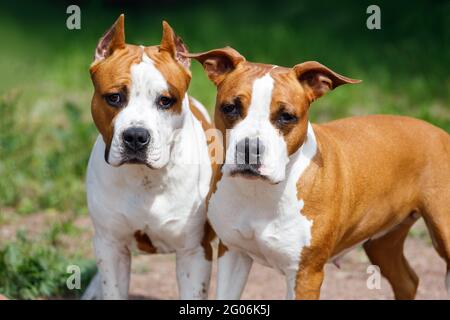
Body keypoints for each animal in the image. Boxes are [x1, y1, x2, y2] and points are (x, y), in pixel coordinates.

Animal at [81, 15, 215, 300]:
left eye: (165, 101)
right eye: (114, 97)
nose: (135, 136)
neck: (144, 178)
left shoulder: (194, 251)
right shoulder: (111, 246)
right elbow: (112, 287)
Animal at [189, 46, 450, 298]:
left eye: (286, 116)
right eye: (230, 108)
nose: (250, 149)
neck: (259, 193)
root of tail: (439, 132)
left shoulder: (305, 274)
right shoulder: (232, 253)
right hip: (382, 242)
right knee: (407, 281)